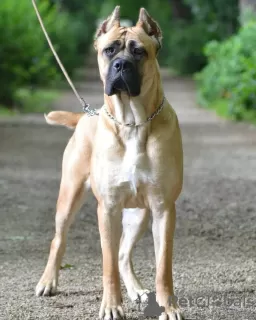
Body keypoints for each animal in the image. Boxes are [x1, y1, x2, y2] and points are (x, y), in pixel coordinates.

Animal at [36, 7, 184, 320]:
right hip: (69, 196)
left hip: (139, 214)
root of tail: (85, 116)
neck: (133, 123)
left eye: (139, 51)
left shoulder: (163, 208)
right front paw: (112, 306)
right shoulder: (108, 208)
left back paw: (137, 290)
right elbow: (107, 265)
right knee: (59, 240)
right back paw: (47, 282)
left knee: (123, 254)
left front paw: (168, 306)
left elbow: (163, 266)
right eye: (109, 50)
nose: (121, 65)